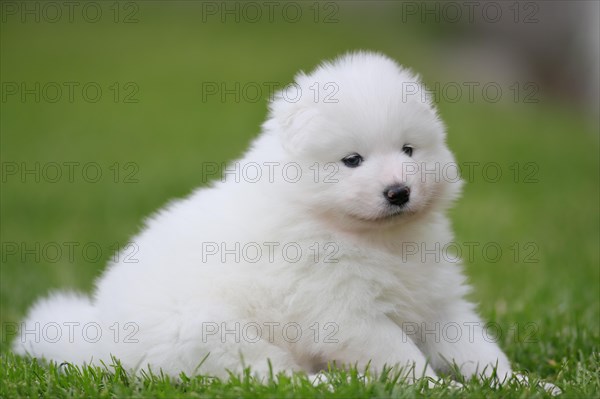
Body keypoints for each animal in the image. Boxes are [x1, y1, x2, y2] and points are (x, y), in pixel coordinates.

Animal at [14, 51, 556, 392]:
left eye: (408, 150)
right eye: (352, 160)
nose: (399, 192)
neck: (373, 240)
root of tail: (102, 338)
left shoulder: (436, 299)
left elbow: (478, 350)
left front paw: (526, 385)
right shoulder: (343, 313)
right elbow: (403, 357)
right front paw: (439, 389)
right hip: (217, 331)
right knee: (273, 376)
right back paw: (334, 382)